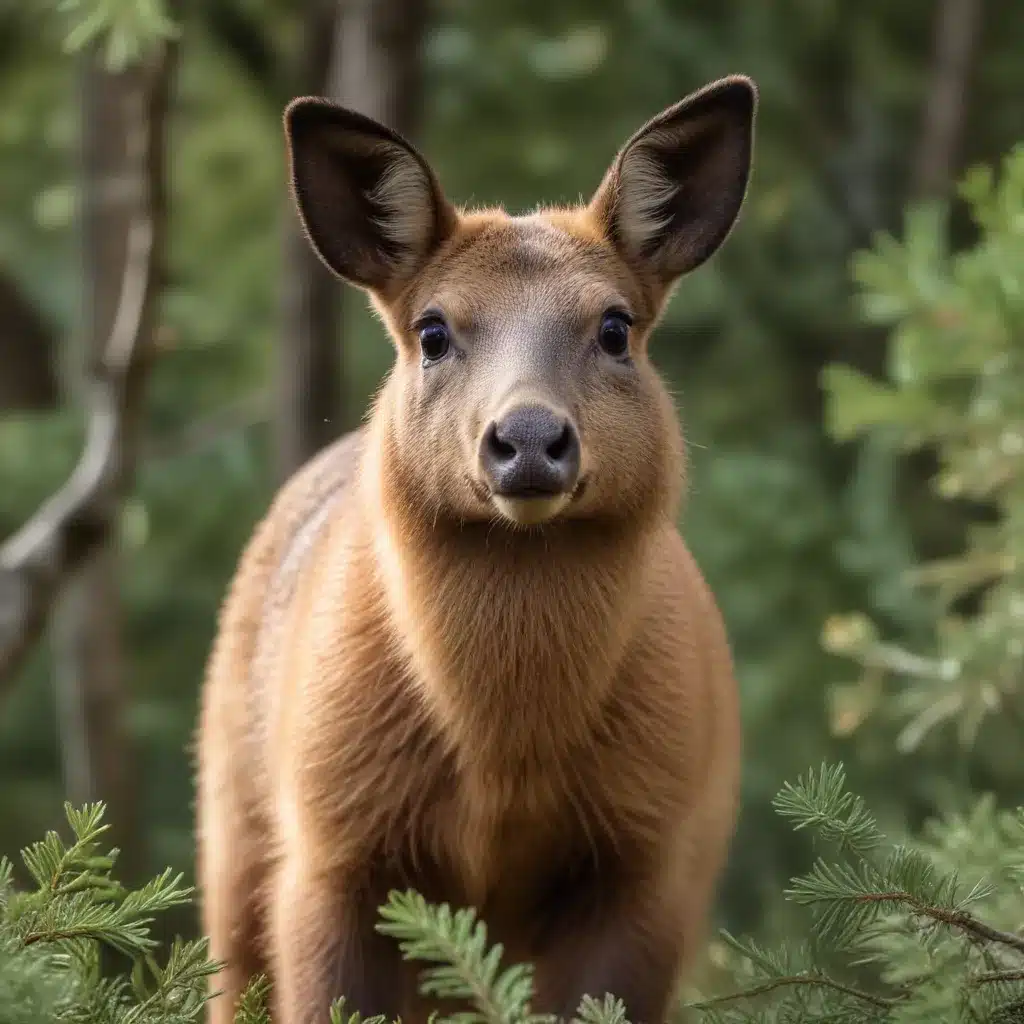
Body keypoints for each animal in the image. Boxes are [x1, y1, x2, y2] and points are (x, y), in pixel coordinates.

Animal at [195, 74, 757, 1024]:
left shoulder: (648, 857)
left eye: (616, 327)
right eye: (432, 331)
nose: (528, 437)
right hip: (233, 832)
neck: (506, 757)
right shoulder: (334, 850)